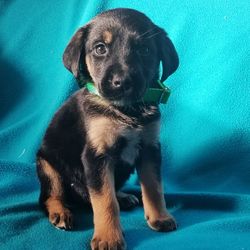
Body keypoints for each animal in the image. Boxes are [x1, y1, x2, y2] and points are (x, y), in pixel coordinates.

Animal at [36, 7, 179, 250]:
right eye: (100, 48)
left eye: (145, 50)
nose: (122, 82)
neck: (126, 111)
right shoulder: (96, 156)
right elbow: (105, 201)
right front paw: (108, 237)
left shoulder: (150, 149)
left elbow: (154, 187)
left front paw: (160, 217)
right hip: (47, 165)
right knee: (50, 196)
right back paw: (61, 212)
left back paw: (123, 196)